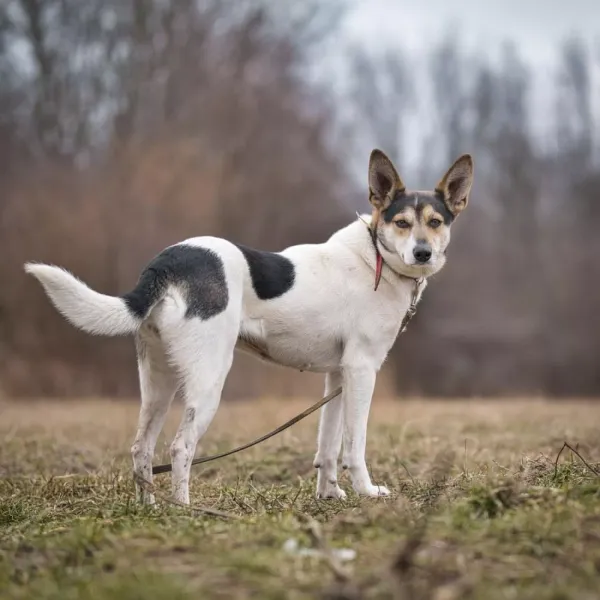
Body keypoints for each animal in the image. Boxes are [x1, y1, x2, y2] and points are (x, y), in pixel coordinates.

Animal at [23, 149, 474, 502]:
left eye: (436, 222)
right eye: (402, 223)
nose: (422, 253)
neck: (375, 258)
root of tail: (166, 262)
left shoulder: (338, 375)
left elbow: (327, 445)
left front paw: (329, 495)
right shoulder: (362, 370)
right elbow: (354, 444)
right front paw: (366, 492)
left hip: (158, 382)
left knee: (141, 449)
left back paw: (148, 509)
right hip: (209, 379)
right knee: (181, 447)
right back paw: (183, 510)